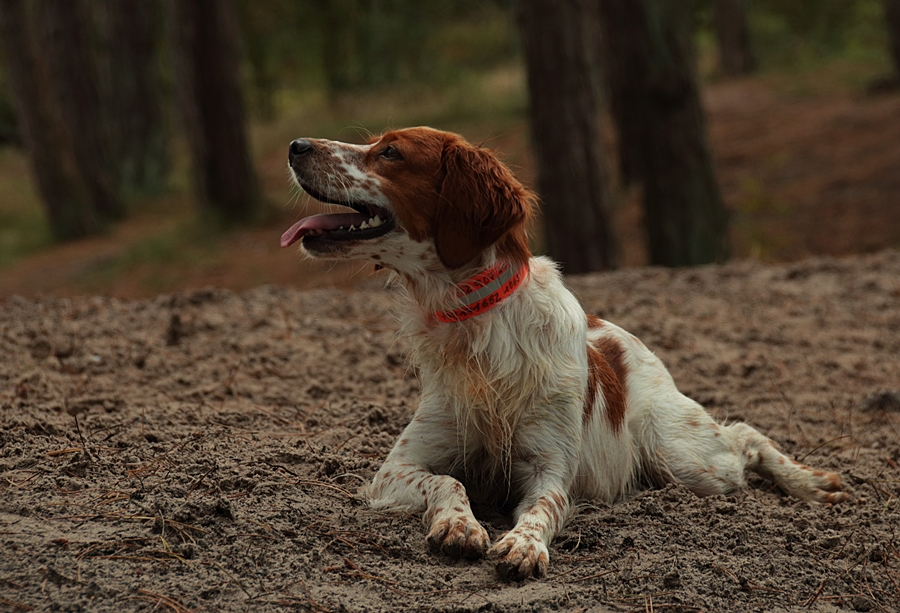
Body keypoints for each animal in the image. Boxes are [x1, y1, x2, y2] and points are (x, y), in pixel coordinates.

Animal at [281, 127, 847, 580]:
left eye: (391, 153)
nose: (296, 144)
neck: (477, 323)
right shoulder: (398, 467)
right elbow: (447, 480)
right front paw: (460, 526)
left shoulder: (550, 469)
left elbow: (544, 509)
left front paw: (524, 545)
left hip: (684, 459)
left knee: (745, 436)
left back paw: (813, 484)